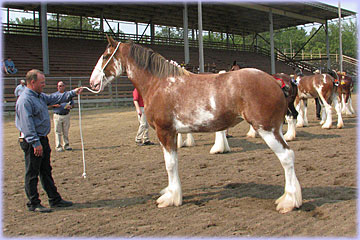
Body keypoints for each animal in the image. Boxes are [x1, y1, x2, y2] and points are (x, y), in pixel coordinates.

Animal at [88, 35, 302, 212]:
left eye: (105, 55)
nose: (92, 82)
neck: (159, 84)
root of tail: (276, 82)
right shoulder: (173, 133)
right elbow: (174, 162)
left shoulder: (165, 132)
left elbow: (170, 164)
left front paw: (171, 198)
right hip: (275, 129)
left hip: (266, 129)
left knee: (286, 157)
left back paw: (289, 202)